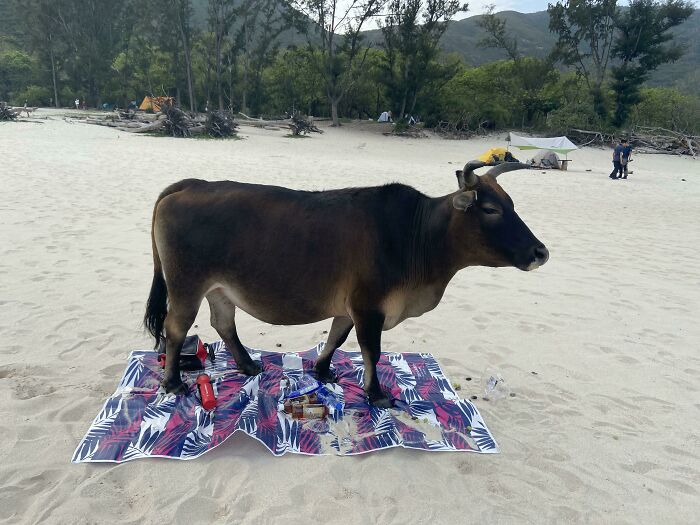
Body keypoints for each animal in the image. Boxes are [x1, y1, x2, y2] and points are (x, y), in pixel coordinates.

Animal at [144, 161, 548, 407]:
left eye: (511, 203)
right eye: (490, 209)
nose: (540, 252)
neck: (416, 236)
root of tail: (189, 185)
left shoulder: (351, 306)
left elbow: (336, 338)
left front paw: (323, 371)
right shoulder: (369, 306)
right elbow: (371, 351)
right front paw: (376, 393)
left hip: (219, 289)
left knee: (223, 323)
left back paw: (247, 365)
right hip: (187, 286)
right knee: (176, 328)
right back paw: (173, 381)